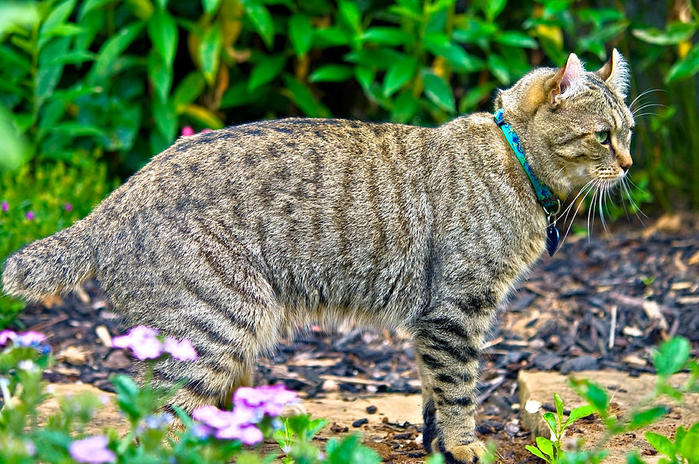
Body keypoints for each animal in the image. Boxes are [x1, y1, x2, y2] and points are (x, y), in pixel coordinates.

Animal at [2, 49, 636, 462]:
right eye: (603, 136)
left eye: (628, 132)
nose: (630, 164)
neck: (514, 162)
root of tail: (111, 204)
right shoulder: (455, 312)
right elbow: (458, 388)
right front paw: (464, 445)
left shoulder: (435, 323)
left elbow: (431, 393)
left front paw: (436, 446)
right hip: (217, 326)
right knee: (153, 421)